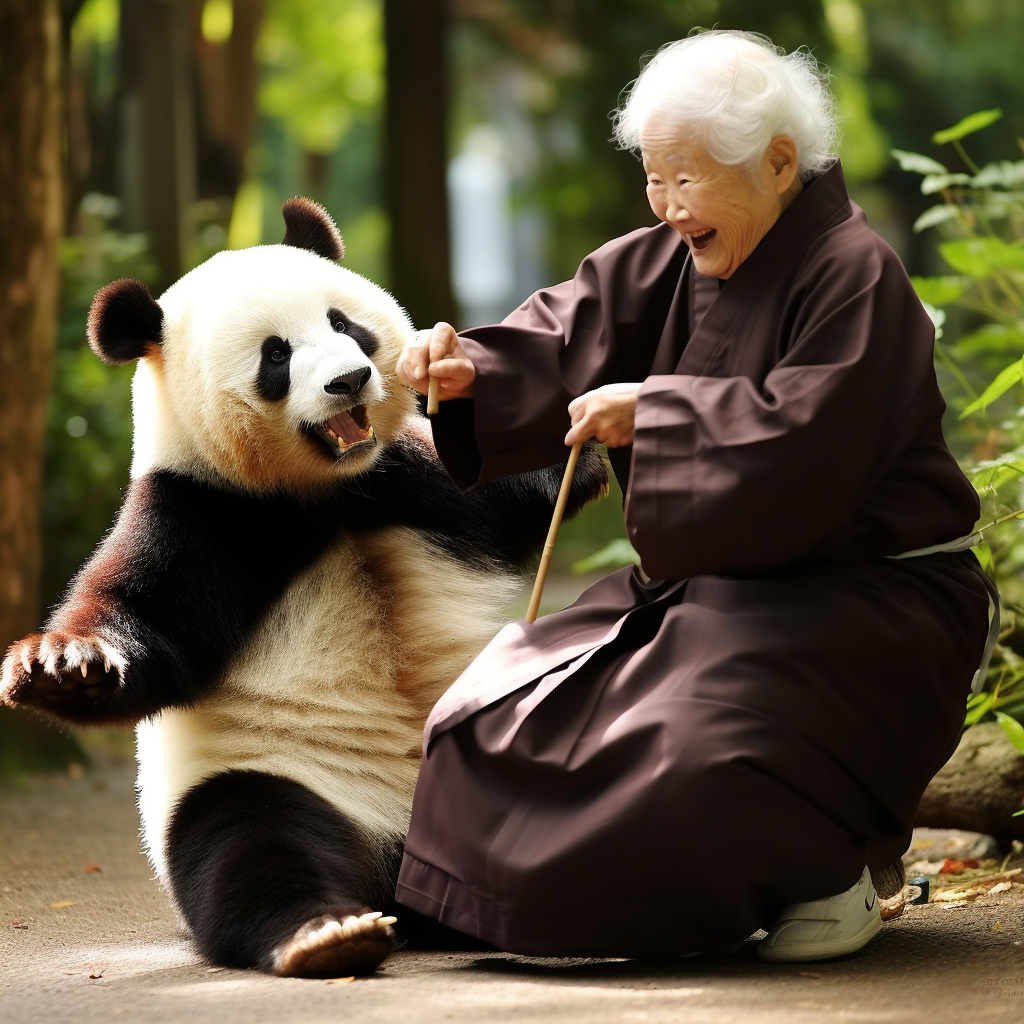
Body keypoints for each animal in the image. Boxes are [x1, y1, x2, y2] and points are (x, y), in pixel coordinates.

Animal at [0, 197, 602, 974]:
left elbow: (497, 487)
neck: (322, 493)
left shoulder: (405, 480)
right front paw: (62, 667)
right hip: (278, 774)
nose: (349, 380)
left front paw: (582, 441)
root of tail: (403, 871)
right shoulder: (204, 515)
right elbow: (149, 621)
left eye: (345, 325)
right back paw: (326, 933)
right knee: (253, 845)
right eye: (276, 356)